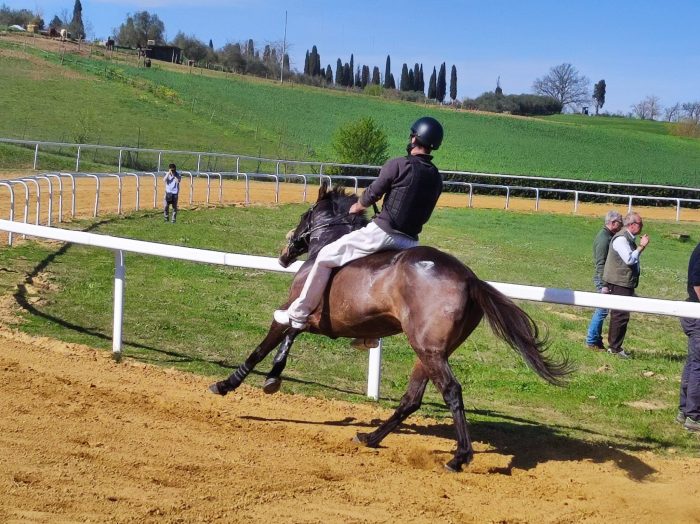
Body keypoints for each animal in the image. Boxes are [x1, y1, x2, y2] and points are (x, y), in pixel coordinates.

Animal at [209, 182, 568, 472]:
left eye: (306, 213)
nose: (285, 252)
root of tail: (469, 278)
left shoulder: (291, 310)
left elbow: (266, 343)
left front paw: (227, 384)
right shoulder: (316, 322)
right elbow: (291, 335)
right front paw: (273, 377)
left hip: (428, 350)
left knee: (451, 391)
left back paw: (459, 457)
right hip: (429, 352)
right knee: (412, 399)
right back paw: (370, 437)